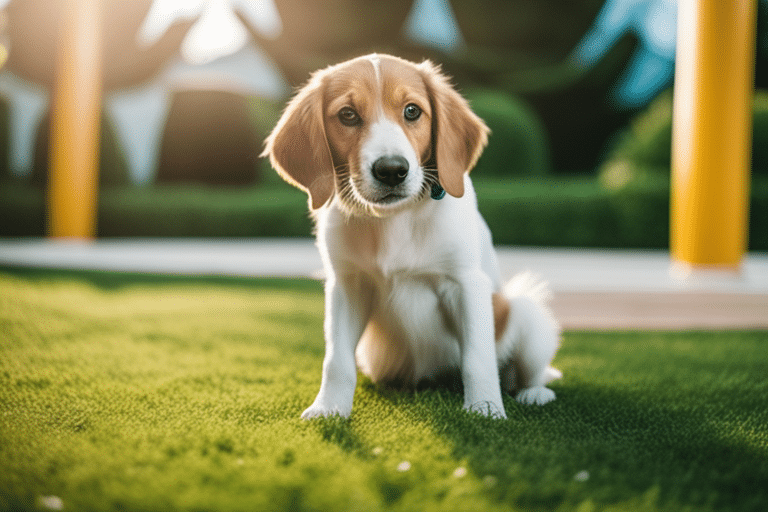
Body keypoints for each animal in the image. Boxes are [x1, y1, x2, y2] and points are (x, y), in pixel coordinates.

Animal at [262, 53, 560, 420]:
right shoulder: (346, 285)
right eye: (347, 115)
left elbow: (477, 358)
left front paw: (485, 411)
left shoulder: (466, 283)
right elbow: (337, 360)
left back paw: (534, 392)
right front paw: (329, 409)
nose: (391, 170)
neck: (395, 220)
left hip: (526, 314)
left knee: (525, 370)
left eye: (412, 111)